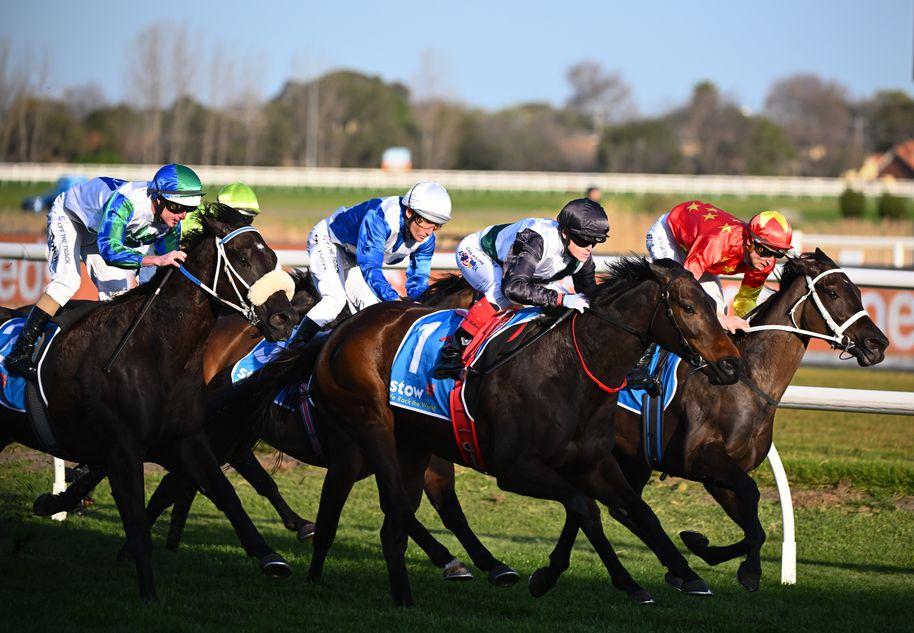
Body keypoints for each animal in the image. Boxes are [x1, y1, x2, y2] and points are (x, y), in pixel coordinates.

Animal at [0, 210, 298, 600]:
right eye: (243, 258)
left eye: (274, 257)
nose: (285, 319)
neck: (156, 350)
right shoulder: (123, 451)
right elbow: (139, 524)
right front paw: (149, 594)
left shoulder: (186, 438)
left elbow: (224, 492)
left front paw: (269, 556)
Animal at [306, 258, 740, 608]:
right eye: (688, 308)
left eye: (714, 305)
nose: (731, 365)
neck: (569, 370)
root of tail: (343, 330)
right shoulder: (514, 469)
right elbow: (585, 507)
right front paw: (570, 578)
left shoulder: (594, 463)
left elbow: (639, 511)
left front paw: (687, 575)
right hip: (372, 429)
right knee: (377, 504)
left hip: (412, 445)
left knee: (395, 519)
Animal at [524, 249, 888, 596]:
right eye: (832, 292)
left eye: (858, 291)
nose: (878, 344)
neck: (746, 381)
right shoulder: (701, 458)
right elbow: (752, 496)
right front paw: (745, 569)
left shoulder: (719, 476)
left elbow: (754, 527)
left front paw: (701, 547)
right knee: (600, 506)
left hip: (629, 456)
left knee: (607, 507)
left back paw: (552, 573)